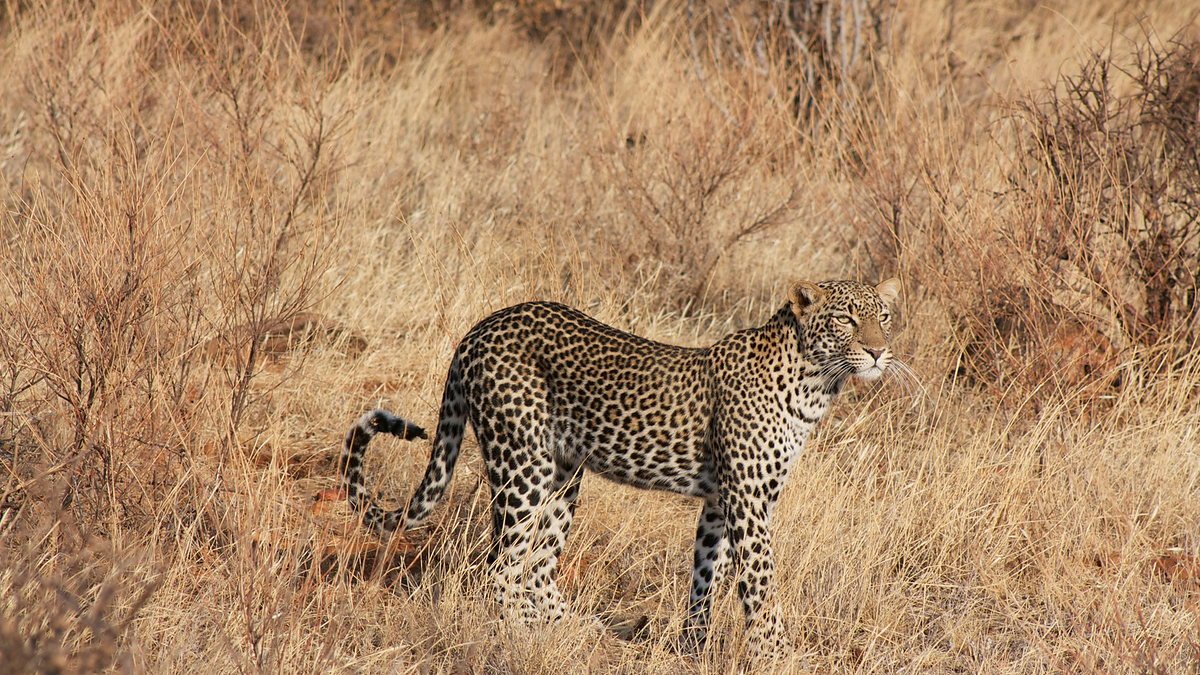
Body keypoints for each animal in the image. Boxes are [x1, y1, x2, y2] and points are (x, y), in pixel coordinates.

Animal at [340, 278, 901, 656]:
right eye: (848, 320)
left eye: (885, 317)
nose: (879, 352)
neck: (815, 382)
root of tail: (479, 328)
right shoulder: (748, 501)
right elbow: (761, 586)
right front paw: (776, 655)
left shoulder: (722, 502)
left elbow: (706, 575)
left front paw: (693, 647)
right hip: (522, 464)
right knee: (500, 566)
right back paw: (517, 639)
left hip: (564, 473)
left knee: (538, 565)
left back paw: (570, 629)